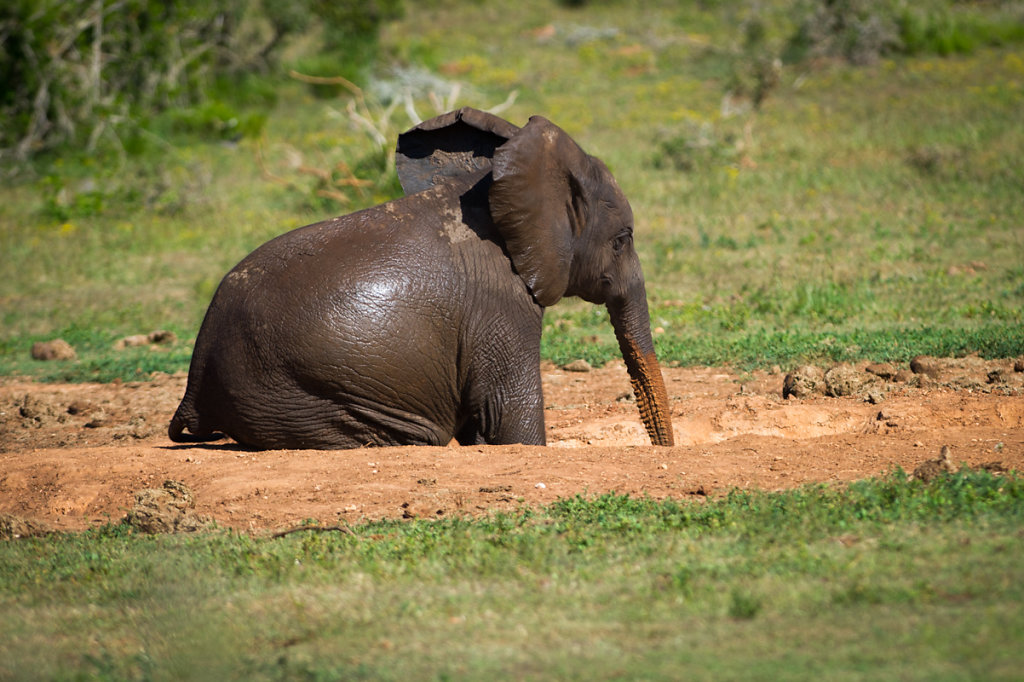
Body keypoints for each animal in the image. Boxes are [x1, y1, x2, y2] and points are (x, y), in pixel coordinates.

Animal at [169, 104, 671, 446]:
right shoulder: (500, 304)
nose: (660, 449)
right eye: (623, 239)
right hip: (300, 396)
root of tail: (194, 386)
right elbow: (509, 419)